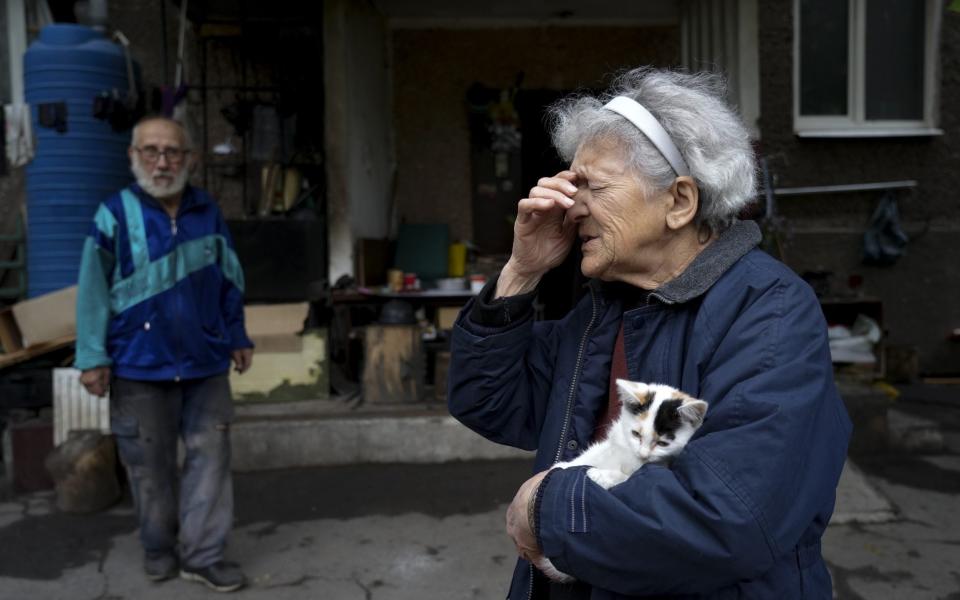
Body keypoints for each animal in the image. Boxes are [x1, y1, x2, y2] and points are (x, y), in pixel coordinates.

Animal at [536, 380, 708, 580]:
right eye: (636, 434)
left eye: (663, 443)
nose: (643, 454)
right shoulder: (615, 441)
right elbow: (597, 452)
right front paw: (561, 467)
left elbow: (628, 478)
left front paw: (600, 476)